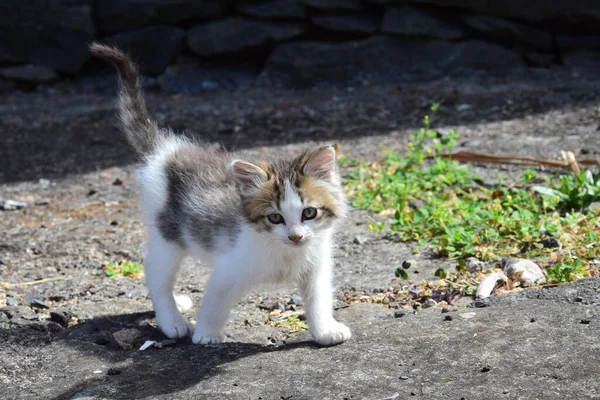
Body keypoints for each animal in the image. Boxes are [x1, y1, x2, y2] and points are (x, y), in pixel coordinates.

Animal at [89, 42, 352, 346]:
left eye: (309, 212)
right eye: (275, 218)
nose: (295, 236)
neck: (285, 252)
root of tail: (166, 150)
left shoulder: (316, 264)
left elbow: (318, 297)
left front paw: (325, 330)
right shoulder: (230, 268)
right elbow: (215, 301)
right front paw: (206, 334)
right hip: (168, 234)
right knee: (156, 272)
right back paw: (172, 320)